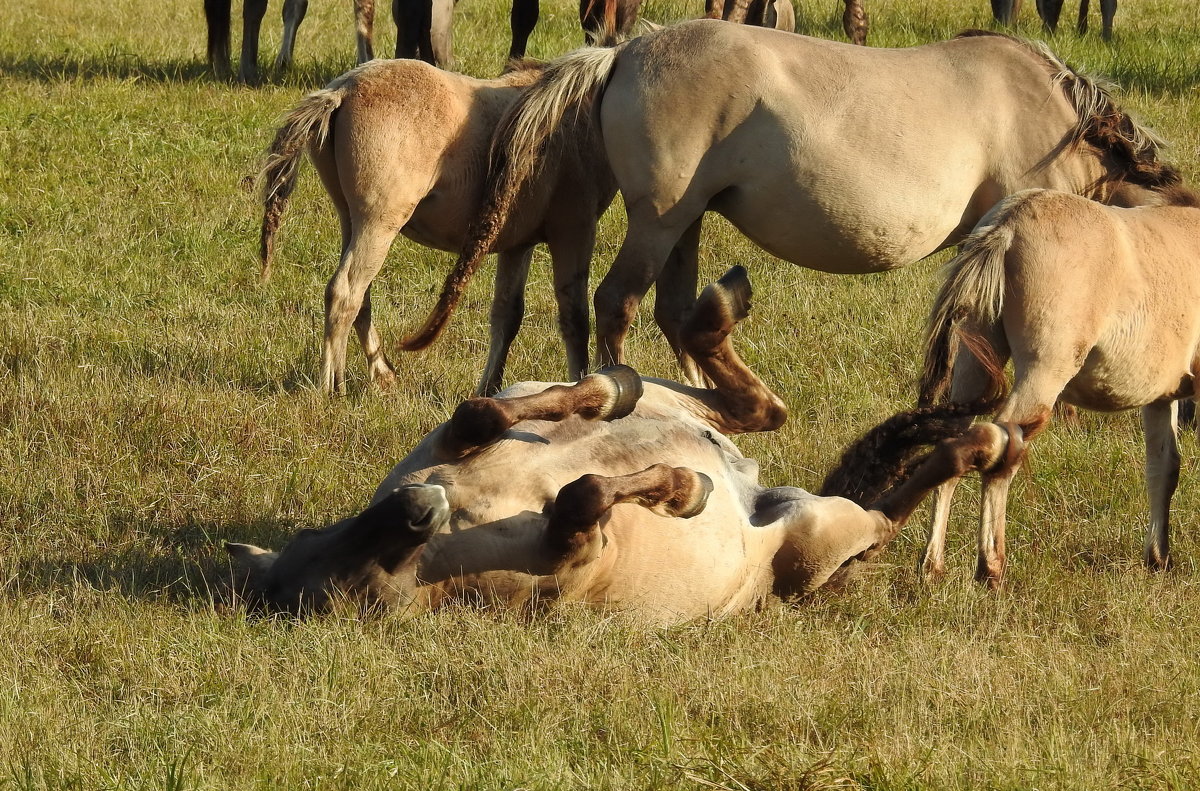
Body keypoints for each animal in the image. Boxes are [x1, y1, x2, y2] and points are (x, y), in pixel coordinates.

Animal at [225, 268, 1003, 624]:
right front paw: (685, 489)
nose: (421, 507)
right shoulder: (577, 553)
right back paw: (976, 443)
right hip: (815, 534)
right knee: (881, 515)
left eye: (315, 534)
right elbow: (585, 494)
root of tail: (763, 489)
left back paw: (704, 319)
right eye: (354, 593)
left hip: (684, 400)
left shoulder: (449, 440)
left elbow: (482, 410)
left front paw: (599, 396)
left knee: (753, 407)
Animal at [255, 57, 619, 396]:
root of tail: (342, 90)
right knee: (345, 293)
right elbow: (575, 317)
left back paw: (381, 373)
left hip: (351, 221)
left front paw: (489, 390)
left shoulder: (518, 245)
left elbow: (507, 316)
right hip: (378, 226)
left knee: (360, 299)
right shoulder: (574, 231)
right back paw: (333, 385)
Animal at [400, 20, 1180, 386]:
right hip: (660, 221)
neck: (1062, 123)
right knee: (616, 302)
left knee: (674, 312)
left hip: (686, 222)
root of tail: (623, 53)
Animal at [916, 188, 1200, 588]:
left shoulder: (1160, 399)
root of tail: (1007, 226)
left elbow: (1163, 468)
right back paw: (991, 569)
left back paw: (932, 567)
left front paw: (1159, 559)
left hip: (973, 368)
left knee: (954, 445)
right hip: (1043, 375)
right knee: (1003, 449)